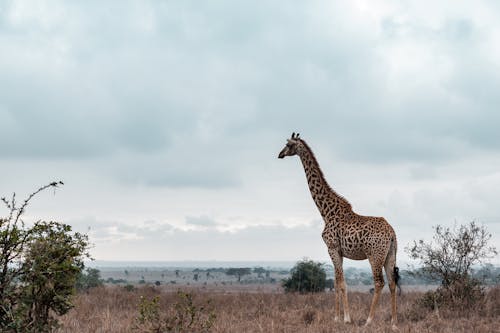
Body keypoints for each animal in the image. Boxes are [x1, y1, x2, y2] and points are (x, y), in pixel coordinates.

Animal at [278, 132, 398, 330]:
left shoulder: (332, 247)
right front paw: (336, 317)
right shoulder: (339, 251)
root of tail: (392, 233)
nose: (279, 154)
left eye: (288, 144)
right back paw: (394, 322)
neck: (326, 211)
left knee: (379, 282)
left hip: (374, 254)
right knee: (392, 283)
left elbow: (341, 283)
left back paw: (369, 320)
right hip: (389, 255)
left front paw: (345, 319)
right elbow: (336, 282)